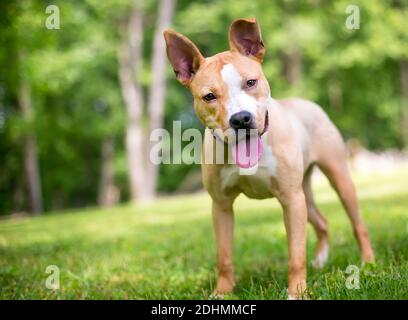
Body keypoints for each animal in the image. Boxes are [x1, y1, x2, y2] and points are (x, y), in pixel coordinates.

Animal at [164, 18, 374, 300]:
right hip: (304, 194)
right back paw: (321, 261)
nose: (241, 119)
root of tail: (306, 103)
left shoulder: (291, 200)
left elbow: (295, 254)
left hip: (336, 179)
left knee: (357, 223)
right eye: (209, 96)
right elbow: (224, 256)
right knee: (322, 222)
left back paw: (368, 261)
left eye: (250, 82)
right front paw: (222, 292)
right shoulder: (221, 206)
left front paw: (297, 292)